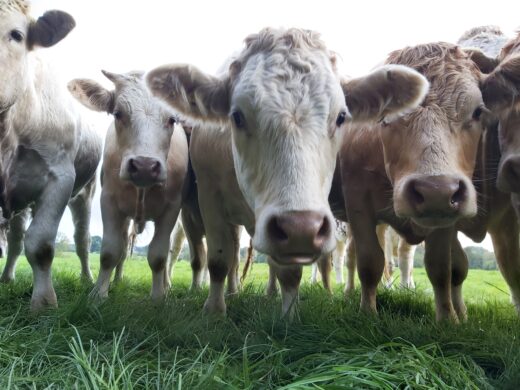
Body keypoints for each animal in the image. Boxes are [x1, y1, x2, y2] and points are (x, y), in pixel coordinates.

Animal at [0, 1, 102, 310]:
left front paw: (44, 303)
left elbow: (42, 244)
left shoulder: (60, 177)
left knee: (82, 240)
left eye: (16, 34)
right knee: (16, 239)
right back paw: (7, 277)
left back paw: (87, 279)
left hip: (86, 192)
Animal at [147, 27, 430, 316]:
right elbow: (218, 259)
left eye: (341, 117)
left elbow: (290, 272)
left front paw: (288, 315)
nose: (299, 227)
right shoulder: (208, 197)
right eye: (237, 116)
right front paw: (215, 309)